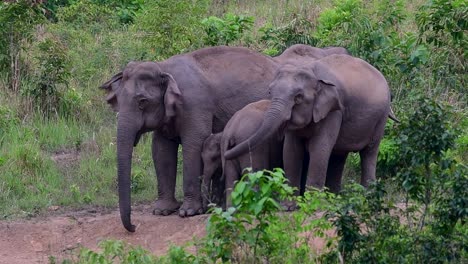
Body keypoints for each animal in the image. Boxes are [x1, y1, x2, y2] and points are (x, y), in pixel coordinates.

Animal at [100, 46, 278, 232]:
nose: (134, 226)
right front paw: (162, 211)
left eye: (142, 101)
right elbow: (160, 150)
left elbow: (193, 144)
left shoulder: (194, 105)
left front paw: (188, 212)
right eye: (117, 101)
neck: (163, 67)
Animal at [225, 54, 396, 196]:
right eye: (269, 92)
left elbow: (319, 148)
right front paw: (289, 205)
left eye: (298, 97)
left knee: (369, 152)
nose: (227, 150)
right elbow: (291, 150)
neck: (312, 71)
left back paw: (367, 196)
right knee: (339, 155)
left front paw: (312, 201)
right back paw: (334, 198)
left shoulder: (334, 110)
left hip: (380, 118)